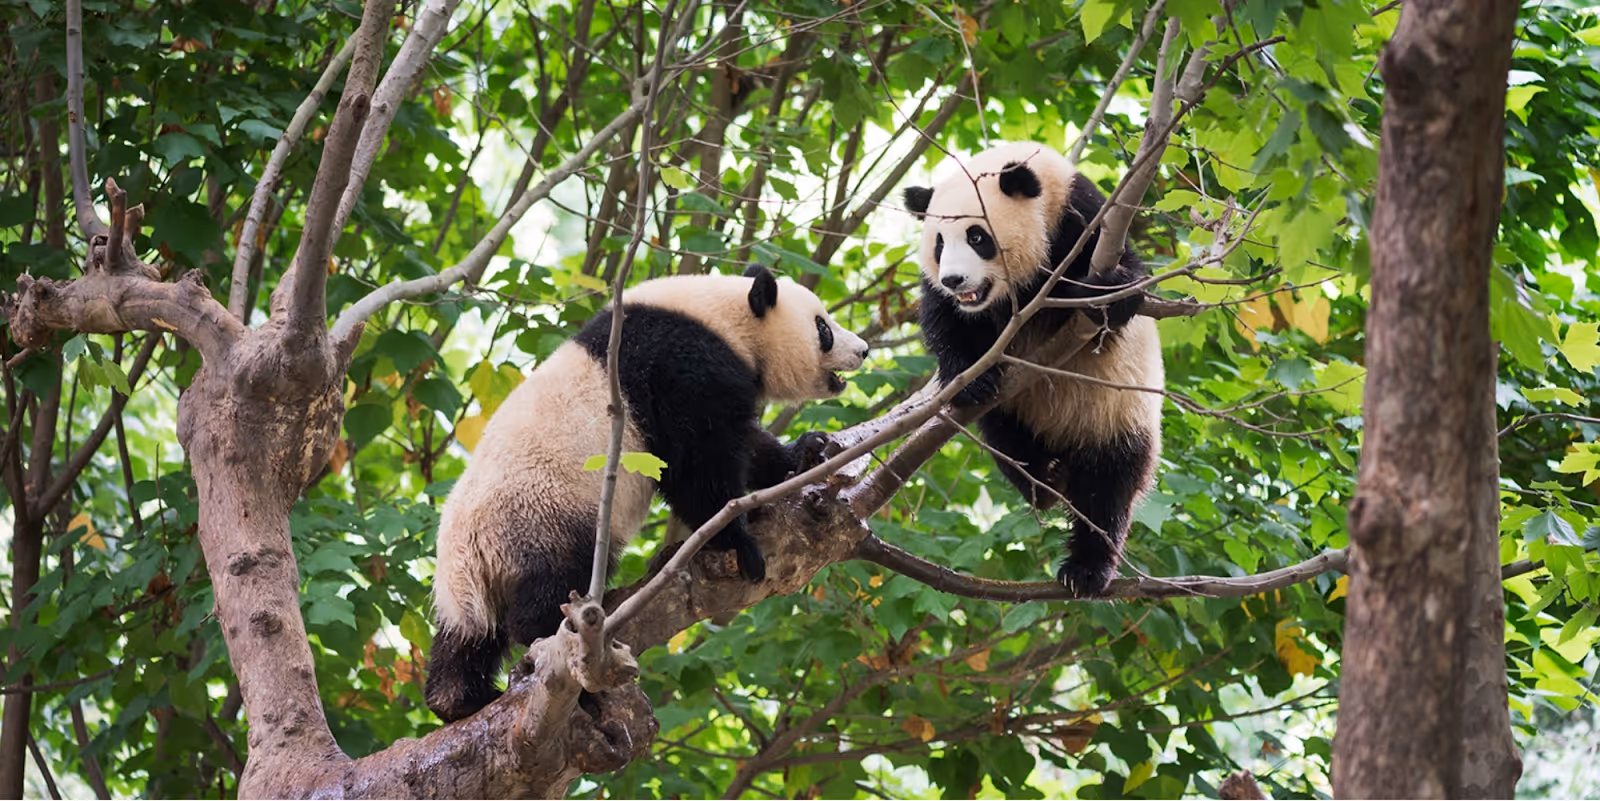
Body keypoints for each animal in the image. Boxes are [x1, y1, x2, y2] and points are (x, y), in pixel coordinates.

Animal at [425, 264, 869, 722]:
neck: (723, 319)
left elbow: (741, 444)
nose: (864, 350)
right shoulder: (679, 363)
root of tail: (469, 554)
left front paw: (807, 451)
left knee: (468, 637)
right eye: (823, 327)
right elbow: (698, 457)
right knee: (554, 586)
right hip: (543, 514)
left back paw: (458, 699)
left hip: (474, 578)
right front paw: (737, 543)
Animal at [900, 141, 1164, 596]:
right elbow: (945, 320)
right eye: (938, 243)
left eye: (977, 236)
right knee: (1005, 437)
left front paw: (1105, 297)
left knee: (1109, 488)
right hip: (1016, 412)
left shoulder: (1086, 221)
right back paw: (1043, 480)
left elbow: (1126, 283)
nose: (954, 280)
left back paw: (1086, 568)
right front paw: (971, 378)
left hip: (1119, 414)